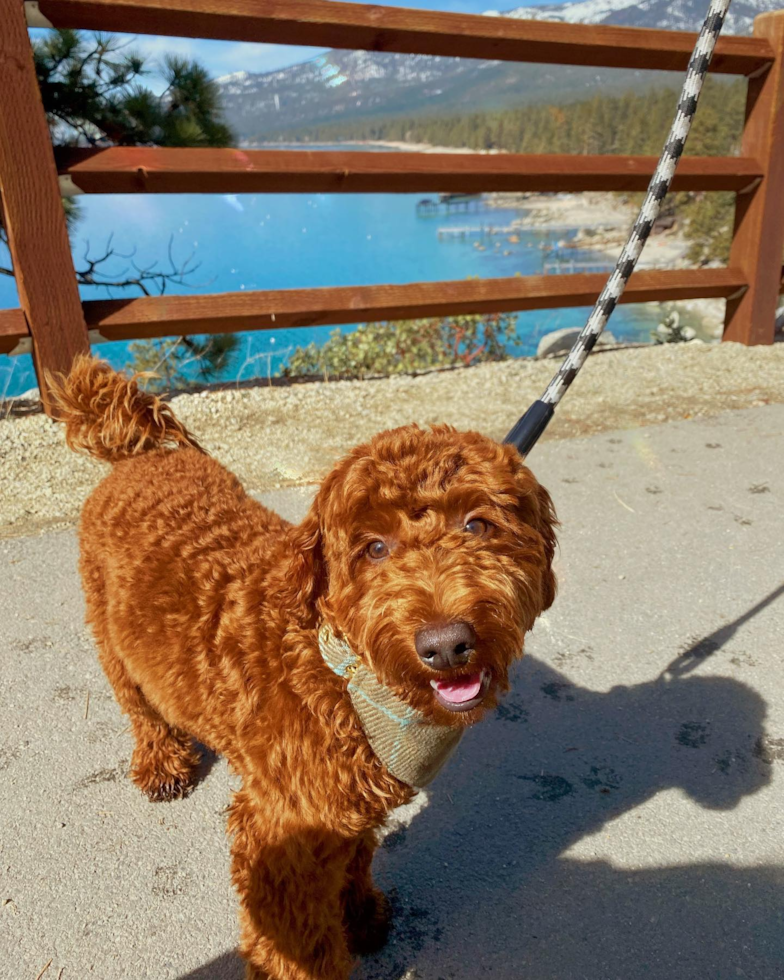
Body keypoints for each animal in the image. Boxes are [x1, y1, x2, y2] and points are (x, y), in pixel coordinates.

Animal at [50, 358, 556, 980]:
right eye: (374, 548)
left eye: (478, 525)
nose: (445, 645)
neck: (340, 671)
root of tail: (138, 454)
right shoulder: (280, 833)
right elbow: (298, 946)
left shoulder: (345, 806)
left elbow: (355, 857)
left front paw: (359, 915)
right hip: (109, 634)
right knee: (139, 704)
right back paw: (162, 761)